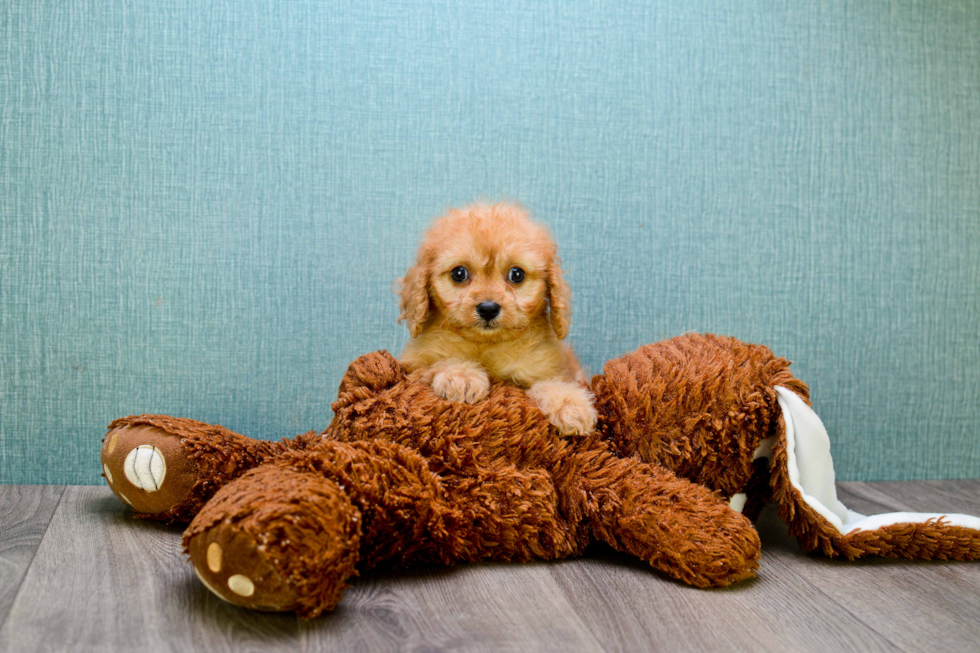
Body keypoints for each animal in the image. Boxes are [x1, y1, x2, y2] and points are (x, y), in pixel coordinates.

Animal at [396, 201, 596, 436]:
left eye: (516, 274)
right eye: (459, 273)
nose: (488, 308)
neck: (486, 344)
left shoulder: (546, 370)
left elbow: (552, 383)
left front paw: (571, 404)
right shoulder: (412, 369)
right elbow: (435, 364)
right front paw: (462, 375)